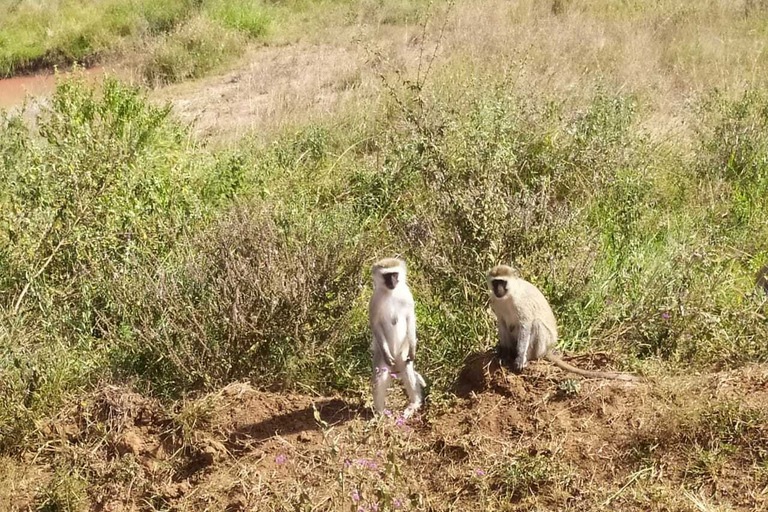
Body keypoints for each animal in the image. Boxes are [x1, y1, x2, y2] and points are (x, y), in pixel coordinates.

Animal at [370, 258, 428, 418]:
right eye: (387, 276)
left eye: (394, 274)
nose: (393, 282)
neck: (392, 293)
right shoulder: (375, 300)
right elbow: (375, 324)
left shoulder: (407, 295)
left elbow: (410, 317)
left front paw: (414, 348)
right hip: (383, 359)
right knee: (380, 376)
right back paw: (380, 412)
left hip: (403, 353)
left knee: (408, 369)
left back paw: (414, 404)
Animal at [488, 264, 640, 380]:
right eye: (495, 282)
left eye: (503, 282)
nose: (498, 290)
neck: (509, 295)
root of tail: (548, 350)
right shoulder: (495, 301)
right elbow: (501, 323)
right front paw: (504, 353)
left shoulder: (522, 303)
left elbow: (526, 325)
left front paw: (520, 358)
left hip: (543, 345)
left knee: (536, 324)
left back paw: (528, 357)